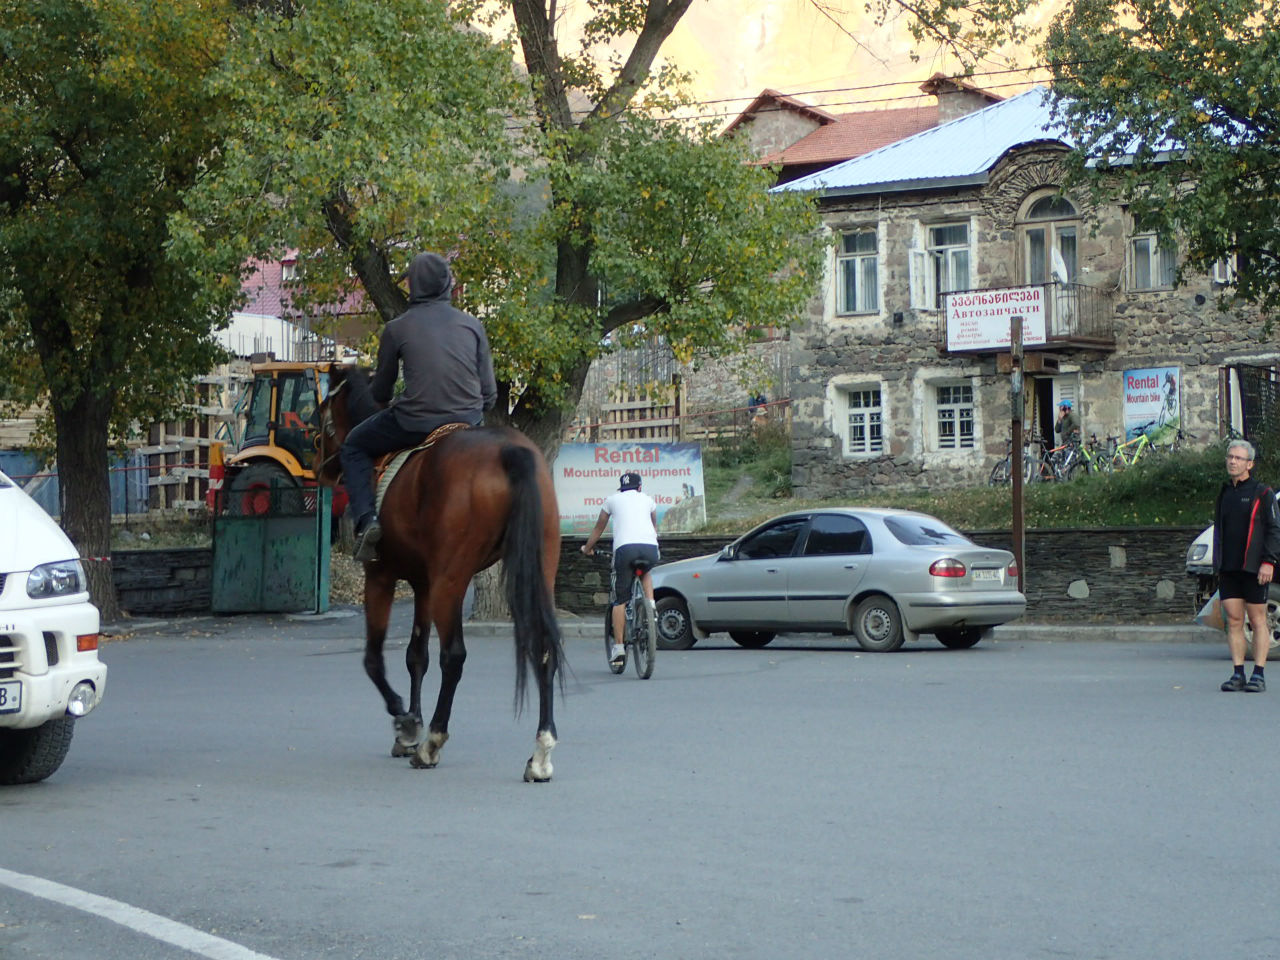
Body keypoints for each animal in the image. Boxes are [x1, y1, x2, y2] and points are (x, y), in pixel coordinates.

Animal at [312, 366, 563, 783]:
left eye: (320, 412)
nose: (324, 468)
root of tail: (509, 451)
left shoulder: (381, 577)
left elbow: (374, 658)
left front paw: (407, 722)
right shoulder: (423, 584)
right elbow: (416, 655)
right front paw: (410, 724)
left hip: (452, 581)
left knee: (454, 655)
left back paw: (432, 742)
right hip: (538, 571)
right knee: (542, 646)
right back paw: (540, 753)